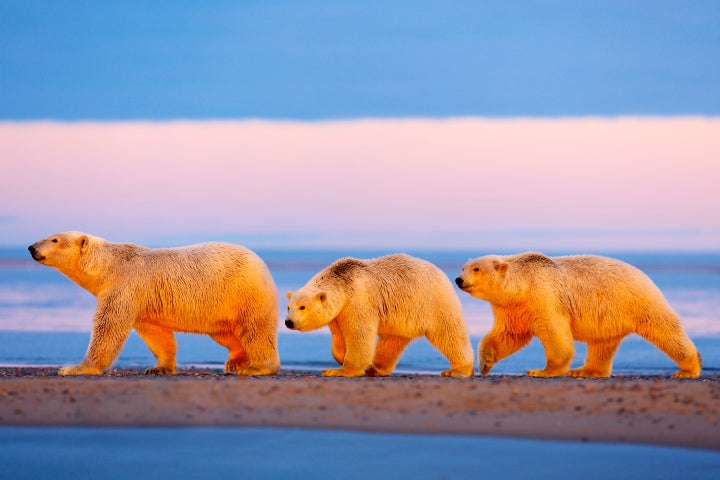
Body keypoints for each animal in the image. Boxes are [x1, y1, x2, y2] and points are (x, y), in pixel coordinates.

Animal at [26, 232, 278, 376]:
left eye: (54, 239)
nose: (31, 247)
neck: (110, 265)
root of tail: (264, 266)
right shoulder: (143, 299)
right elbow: (155, 332)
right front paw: (159, 368)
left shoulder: (124, 287)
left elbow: (108, 329)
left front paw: (74, 368)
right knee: (225, 333)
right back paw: (236, 361)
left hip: (244, 293)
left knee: (255, 331)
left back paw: (257, 367)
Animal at [284, 255, 476, 378]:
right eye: (288, 307)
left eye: (302, 307)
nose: (288, 322)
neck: (343, 281)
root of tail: (441, 272)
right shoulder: (338, 313)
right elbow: (339, 337)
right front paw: (343, 358)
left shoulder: (358, 299)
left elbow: (359, 333)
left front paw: (339, 371)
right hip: (403, 316)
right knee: (392, 340)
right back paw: (375, 367)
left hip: (433, 302)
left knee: (449, 333)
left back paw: (458, 370)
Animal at [458, 251, 700, 378]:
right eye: (463, 267)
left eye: (476, 268)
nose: (458, 280)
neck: (523, 285)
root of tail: (645, 275)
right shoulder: (513, 307)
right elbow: (509, 333)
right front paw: (485, 363)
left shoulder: (544, 296)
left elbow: (554, 332)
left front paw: (542, 371)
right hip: (610, 316)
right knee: (602, 344)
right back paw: (586, 370)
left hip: (638, 301)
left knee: (665, 330)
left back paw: (688, 369)